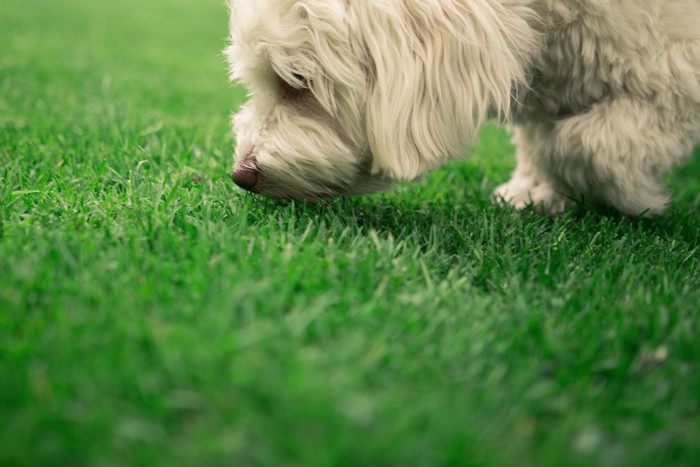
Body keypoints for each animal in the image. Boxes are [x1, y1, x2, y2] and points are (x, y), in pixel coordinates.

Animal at [227, 0, 700, 216]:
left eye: (298, 81)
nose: (240, 175)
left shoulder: (677, 72)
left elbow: (583, 144)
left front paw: (632, 196)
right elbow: (543, 138)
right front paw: (536, 189)